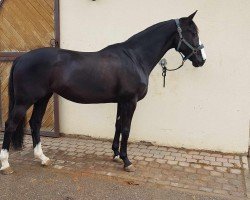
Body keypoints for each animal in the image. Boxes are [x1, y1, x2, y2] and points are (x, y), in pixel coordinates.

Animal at [0, 11, 205, 173]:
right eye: (193, 33)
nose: (201, 60)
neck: (135, 57)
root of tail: (21, 58)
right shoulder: (130, 101)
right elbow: (126, 129)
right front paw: (127, 161)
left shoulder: (121, 101)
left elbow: (117, 126)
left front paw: (116, 154)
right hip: (24, 101)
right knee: (10, 124)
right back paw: (6, 164)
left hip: (43, 97)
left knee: (35, 123)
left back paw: (42, 158)